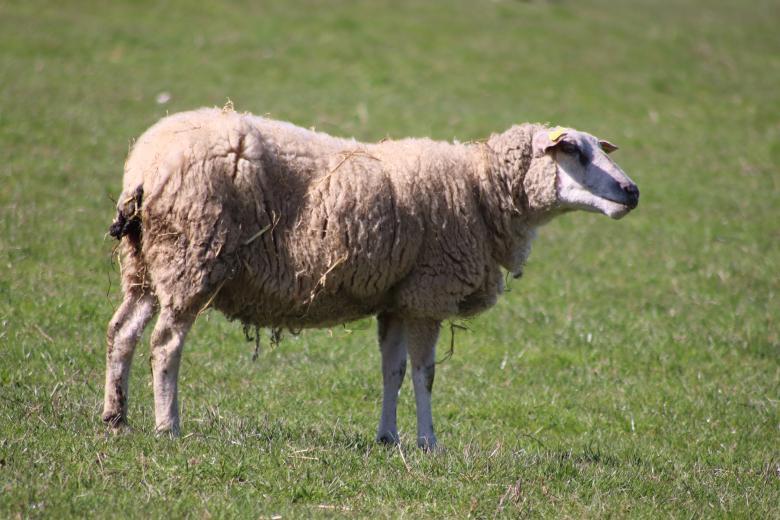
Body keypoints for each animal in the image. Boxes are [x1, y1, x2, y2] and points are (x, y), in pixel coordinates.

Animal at [103, 107, 639, 448]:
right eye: (574, 152)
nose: (632, 191)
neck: (481, 189)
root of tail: (146, 163)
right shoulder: (428, 292)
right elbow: (425, 374)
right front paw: (428, 442)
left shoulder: (397, 298)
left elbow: (392, 371)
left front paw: (388, 437)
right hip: (192, 256)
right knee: (165, 345)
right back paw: (167, 426)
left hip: (146, 265)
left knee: (122, 332)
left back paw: (116, 418)